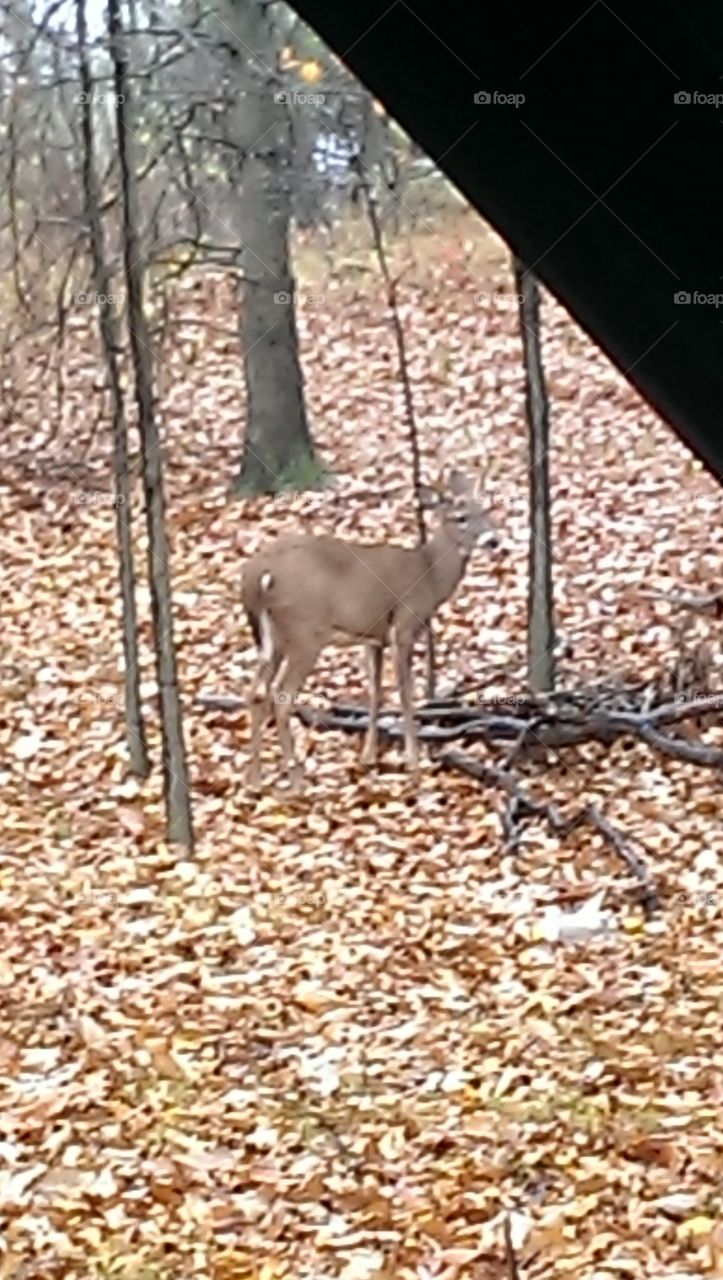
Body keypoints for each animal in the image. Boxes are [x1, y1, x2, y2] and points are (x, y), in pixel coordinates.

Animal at [241, 470, 498, 791]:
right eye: (461, 517)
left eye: (486, 510)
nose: (493, 541)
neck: (429, 575)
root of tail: (258, 574)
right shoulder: (404, 624)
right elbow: (405, 693)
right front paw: (413, 762)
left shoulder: (373, 638)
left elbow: (375, 692)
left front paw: (368, 756)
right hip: (304, 632)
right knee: (281, 696)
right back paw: (297, 779)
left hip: (272, 639)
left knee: (255, 693)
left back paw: (254, 780)